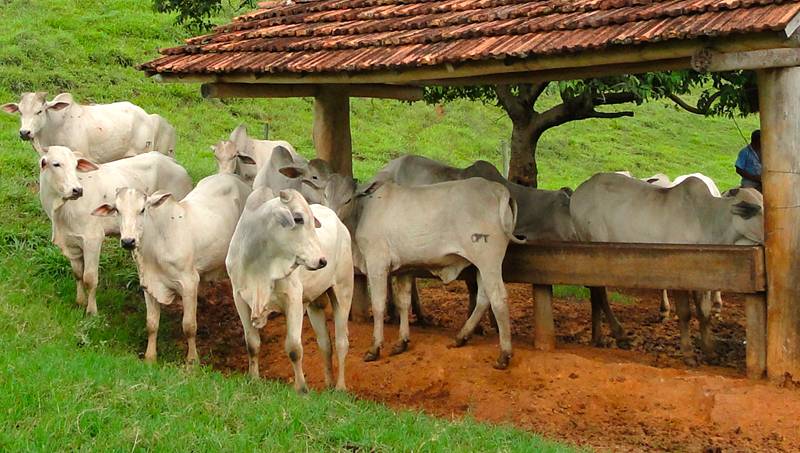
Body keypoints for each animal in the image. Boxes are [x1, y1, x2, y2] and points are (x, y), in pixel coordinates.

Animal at [39, 145, 194, 314]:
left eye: (75, 166)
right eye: (56, 164)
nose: (77, 190)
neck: (60, 211)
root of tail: (173, 162)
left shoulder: (92, 239)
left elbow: (89, 278)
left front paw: (91, 311)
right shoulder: (71, 242)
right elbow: (78, 274)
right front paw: (80, 301)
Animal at [92, 172, 252, 364]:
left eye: (142, 210)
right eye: (117, 210)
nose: (128, 241)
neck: (156, 245)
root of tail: (233, 176)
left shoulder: (189, 282)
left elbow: (189, 326)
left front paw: (192, 360)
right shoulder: (148, 284)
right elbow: (151, 323)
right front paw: (150, 357)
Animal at [225, 187, 350, 392]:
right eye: (298, 218)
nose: (322, 261)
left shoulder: (293, 299)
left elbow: (294, 348)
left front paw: (302, 388)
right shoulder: (239, 297)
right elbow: (252, 343)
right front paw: (254, 379)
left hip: (343, 291)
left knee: (341, 342)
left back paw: (340, 387)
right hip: (313, 304)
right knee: (325, 343)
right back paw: (329, 385)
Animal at [568, 171, 764, 366]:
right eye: (752, 209)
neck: (705, 220)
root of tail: (580, 191)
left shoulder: (702, 278)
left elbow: (704, 313)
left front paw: (710, 352)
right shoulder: (679, 275)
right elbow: (685, 313)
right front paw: (689, 354)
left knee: (595, 294)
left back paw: (598, 337)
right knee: (601, 294)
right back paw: (620, 334)